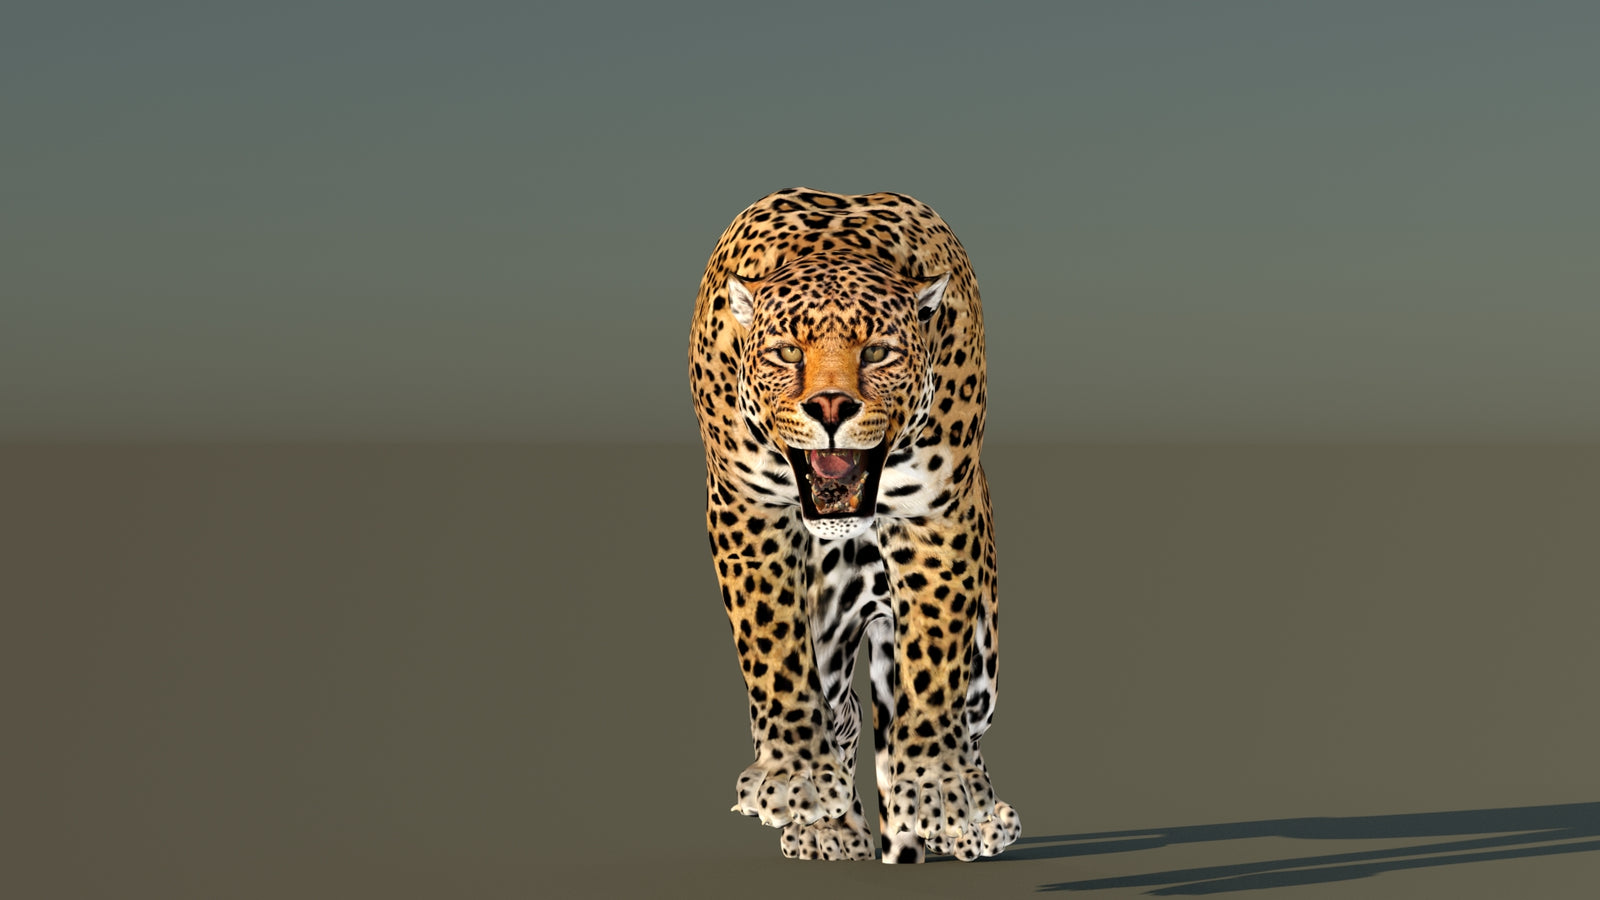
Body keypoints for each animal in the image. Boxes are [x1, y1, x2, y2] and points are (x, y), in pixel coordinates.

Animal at [688, 187, 1020, 864]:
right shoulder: (745, 504)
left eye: (878, 352)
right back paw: (829, 827)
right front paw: (796, 777)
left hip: (985, 657)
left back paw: (971, 822)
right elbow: (772, 646)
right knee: (840, 713)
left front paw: (938, 786)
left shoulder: (933, 512)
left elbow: (934, 659)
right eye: (788, 352)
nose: (832, 406)